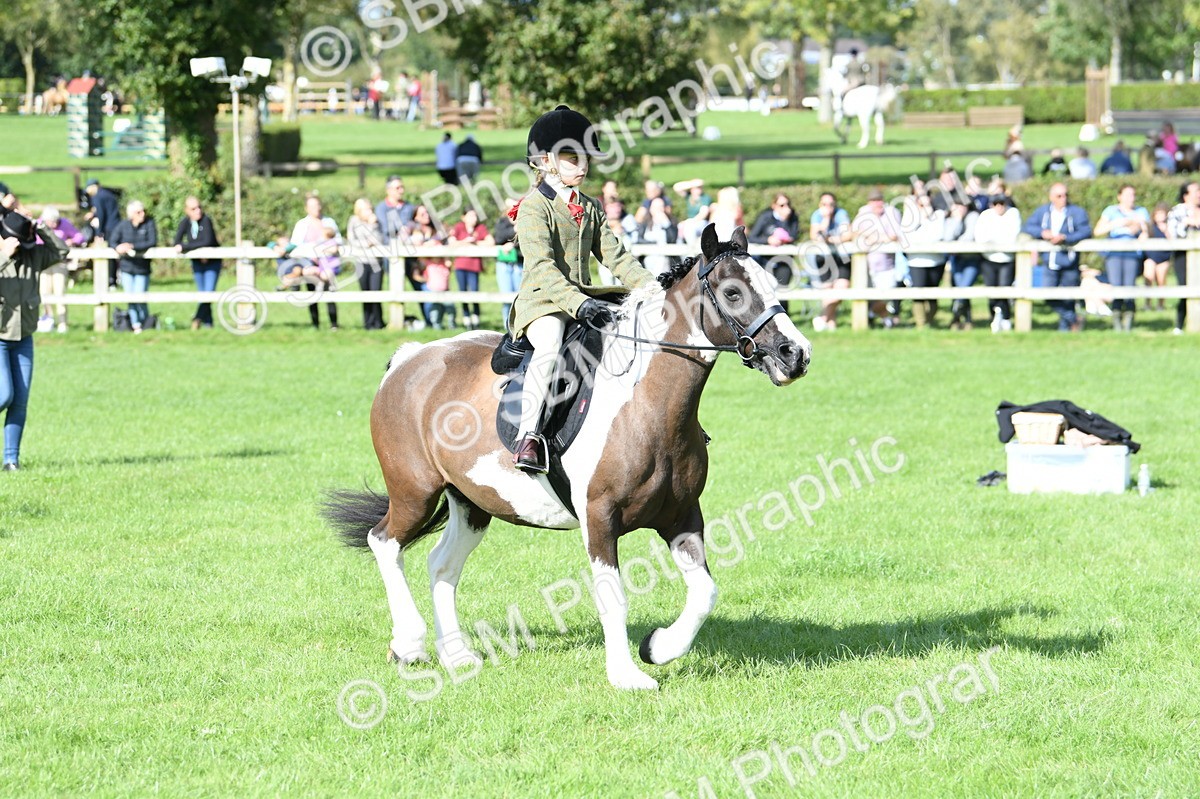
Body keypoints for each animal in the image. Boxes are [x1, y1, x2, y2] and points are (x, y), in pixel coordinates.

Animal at [324, 224, 812, 691]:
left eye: (773, 284)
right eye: (733, 293)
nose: (796, 355)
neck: (645, 403)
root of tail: (410, 358)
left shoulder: (682, 515)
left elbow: (704, 592)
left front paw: (658, 648)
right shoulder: (600, 518)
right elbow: (613, 596)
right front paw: (626, 676)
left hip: (472, 502)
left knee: (441, 563)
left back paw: (457, 656)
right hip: (415, 491)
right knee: (384, 542)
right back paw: (409, 643)